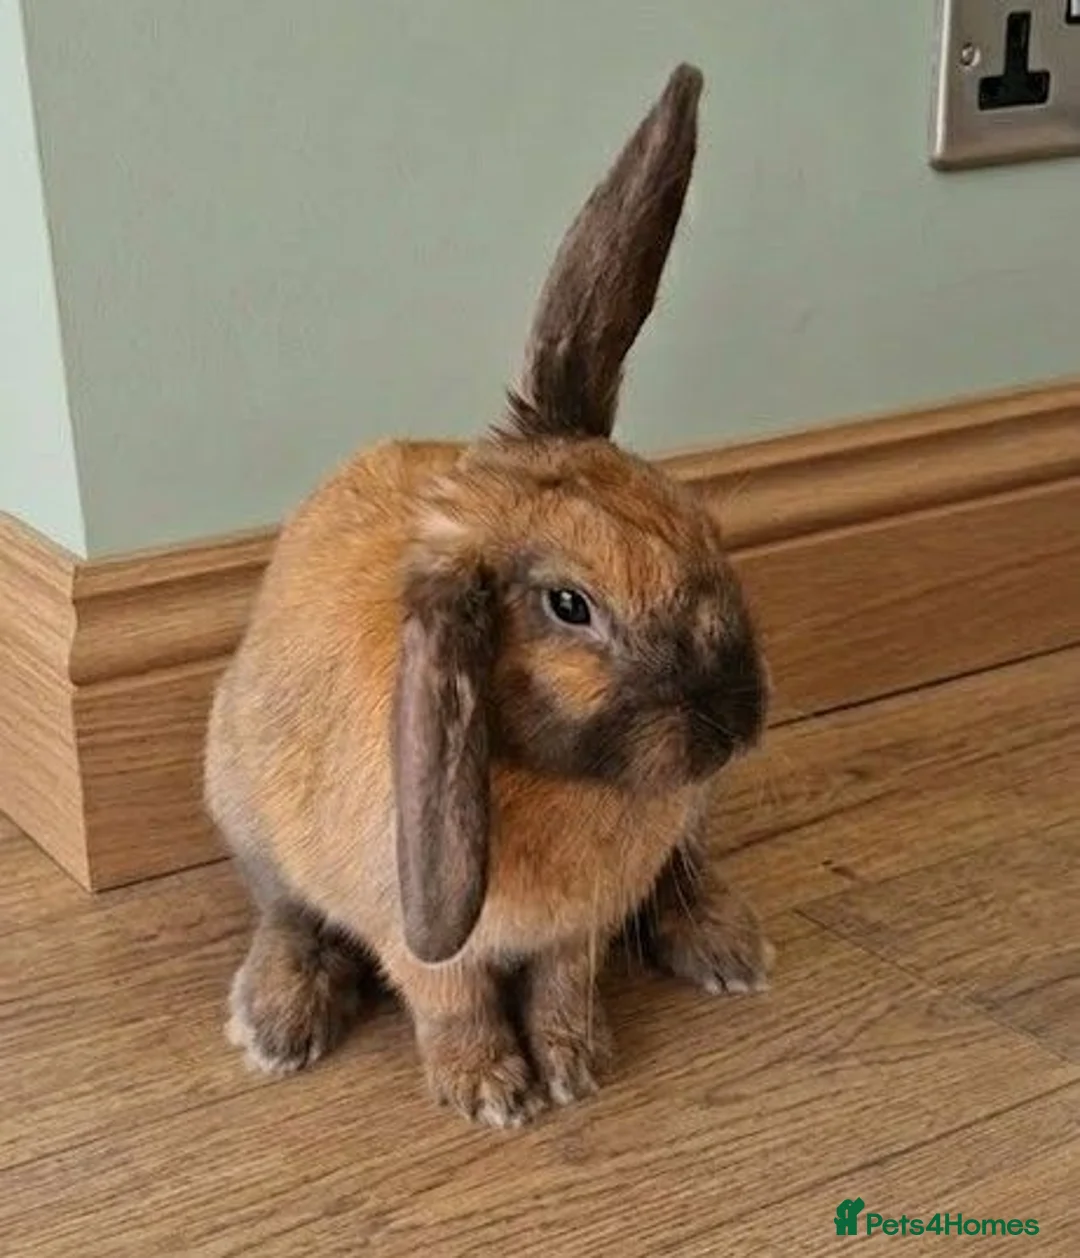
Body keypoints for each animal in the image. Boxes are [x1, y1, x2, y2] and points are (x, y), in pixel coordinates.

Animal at [205, 62, 772, 1129]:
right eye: (569, 607)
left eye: (697, 522)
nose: (738, 720)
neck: (558, 776)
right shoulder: (422, 938)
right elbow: (452, 998)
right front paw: (492, 1094)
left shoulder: (577, 930)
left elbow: (562, 984)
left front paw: (574, 1065)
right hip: (240, 798)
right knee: (288, 914)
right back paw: (279, 1021)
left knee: (684, 874)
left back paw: (727, 947)